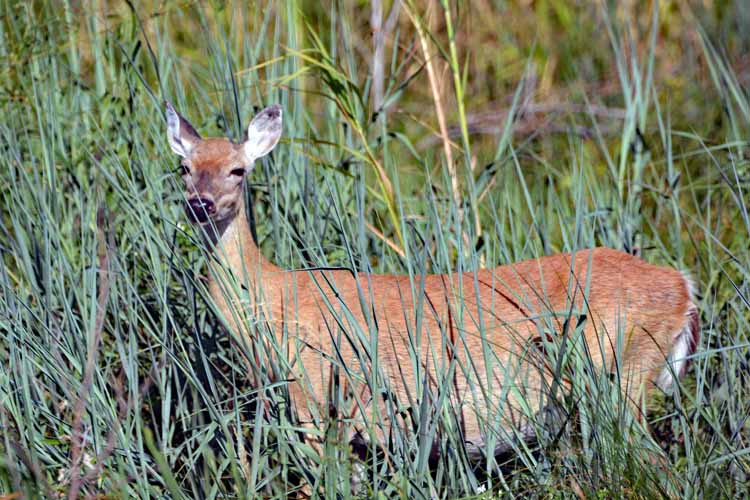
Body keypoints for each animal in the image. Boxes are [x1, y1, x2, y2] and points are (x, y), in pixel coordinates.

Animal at [165, 100, 699, 479]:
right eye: (184, 168)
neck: (270, 302)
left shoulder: (316, 396)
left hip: (621, 370)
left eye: (238, 169)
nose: (199, 203)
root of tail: (684, 287)